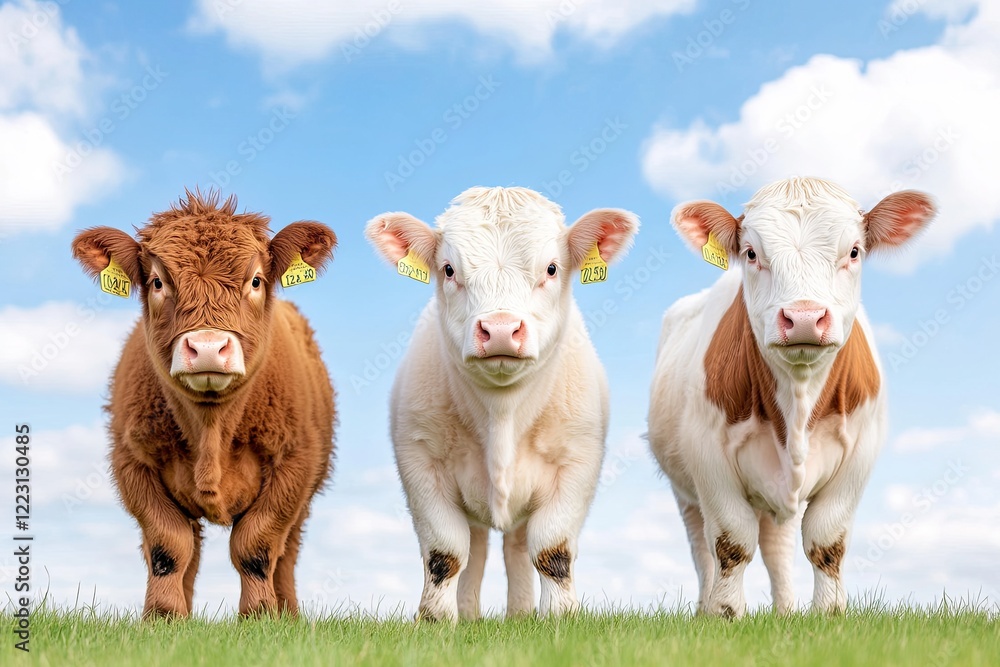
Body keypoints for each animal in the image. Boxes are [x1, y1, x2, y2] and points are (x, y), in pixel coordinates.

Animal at [70, 191, 337, 618]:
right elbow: (168, 545)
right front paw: (164, 616)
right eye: (158, 281)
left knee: (288, 553)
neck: (212, 429)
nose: (208, 347)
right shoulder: (132, 462)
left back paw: (289, 614)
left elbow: (257, 545)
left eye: (256, 280)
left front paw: (260, 616)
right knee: (190, 551)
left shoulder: (295, 464)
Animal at [365, 186, 639, 622]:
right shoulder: (420, 463)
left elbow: (552, 550)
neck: (502, 413)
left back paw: (522, 615)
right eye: (448, 269)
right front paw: (437, 620)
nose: (499, 330)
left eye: (551, 268)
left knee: (517, 547)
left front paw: (559, 618)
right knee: (475, 549)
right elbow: (445, 552)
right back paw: (469, 615)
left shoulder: (578, 463)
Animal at [647, 177, 935, 618]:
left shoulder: (860, 454)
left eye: (854, 251)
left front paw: (829, 614)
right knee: (703, 550)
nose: (803, 318)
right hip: (685, 491)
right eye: (751, 253)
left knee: (776, 546)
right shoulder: (707, 456)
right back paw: (705, 609)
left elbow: (826, 541)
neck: (797, 403)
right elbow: (730, 542)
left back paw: (784, 610)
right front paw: (725, 615)